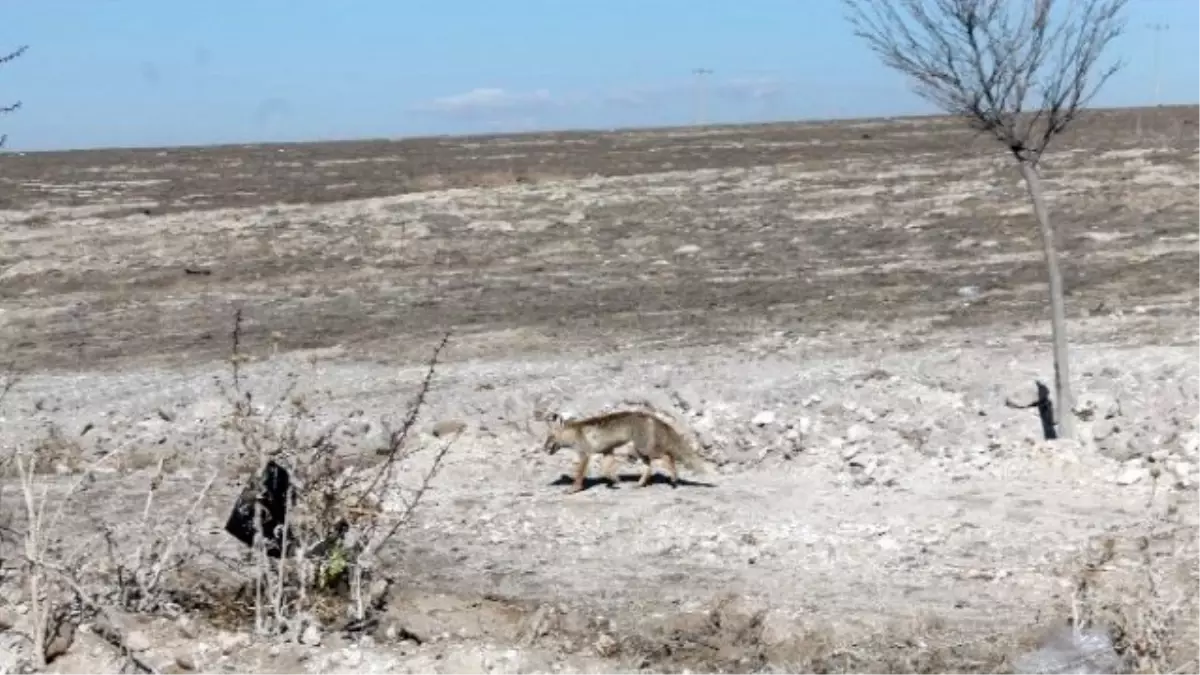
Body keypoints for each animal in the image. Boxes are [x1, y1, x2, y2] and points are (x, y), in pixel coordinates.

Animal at [542, 403, 710, 494]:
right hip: (640, 452)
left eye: (550, 437)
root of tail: (651, 417)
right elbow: (606, 471)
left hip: (645, 450)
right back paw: (640, 484)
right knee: (649, 468)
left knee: (668, 457)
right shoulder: (607, 451)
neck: (575, 433)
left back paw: (674, 478)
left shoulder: (585, 454)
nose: (543, 449)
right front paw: (614, 481)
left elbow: (579, 476)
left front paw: (573, 489)